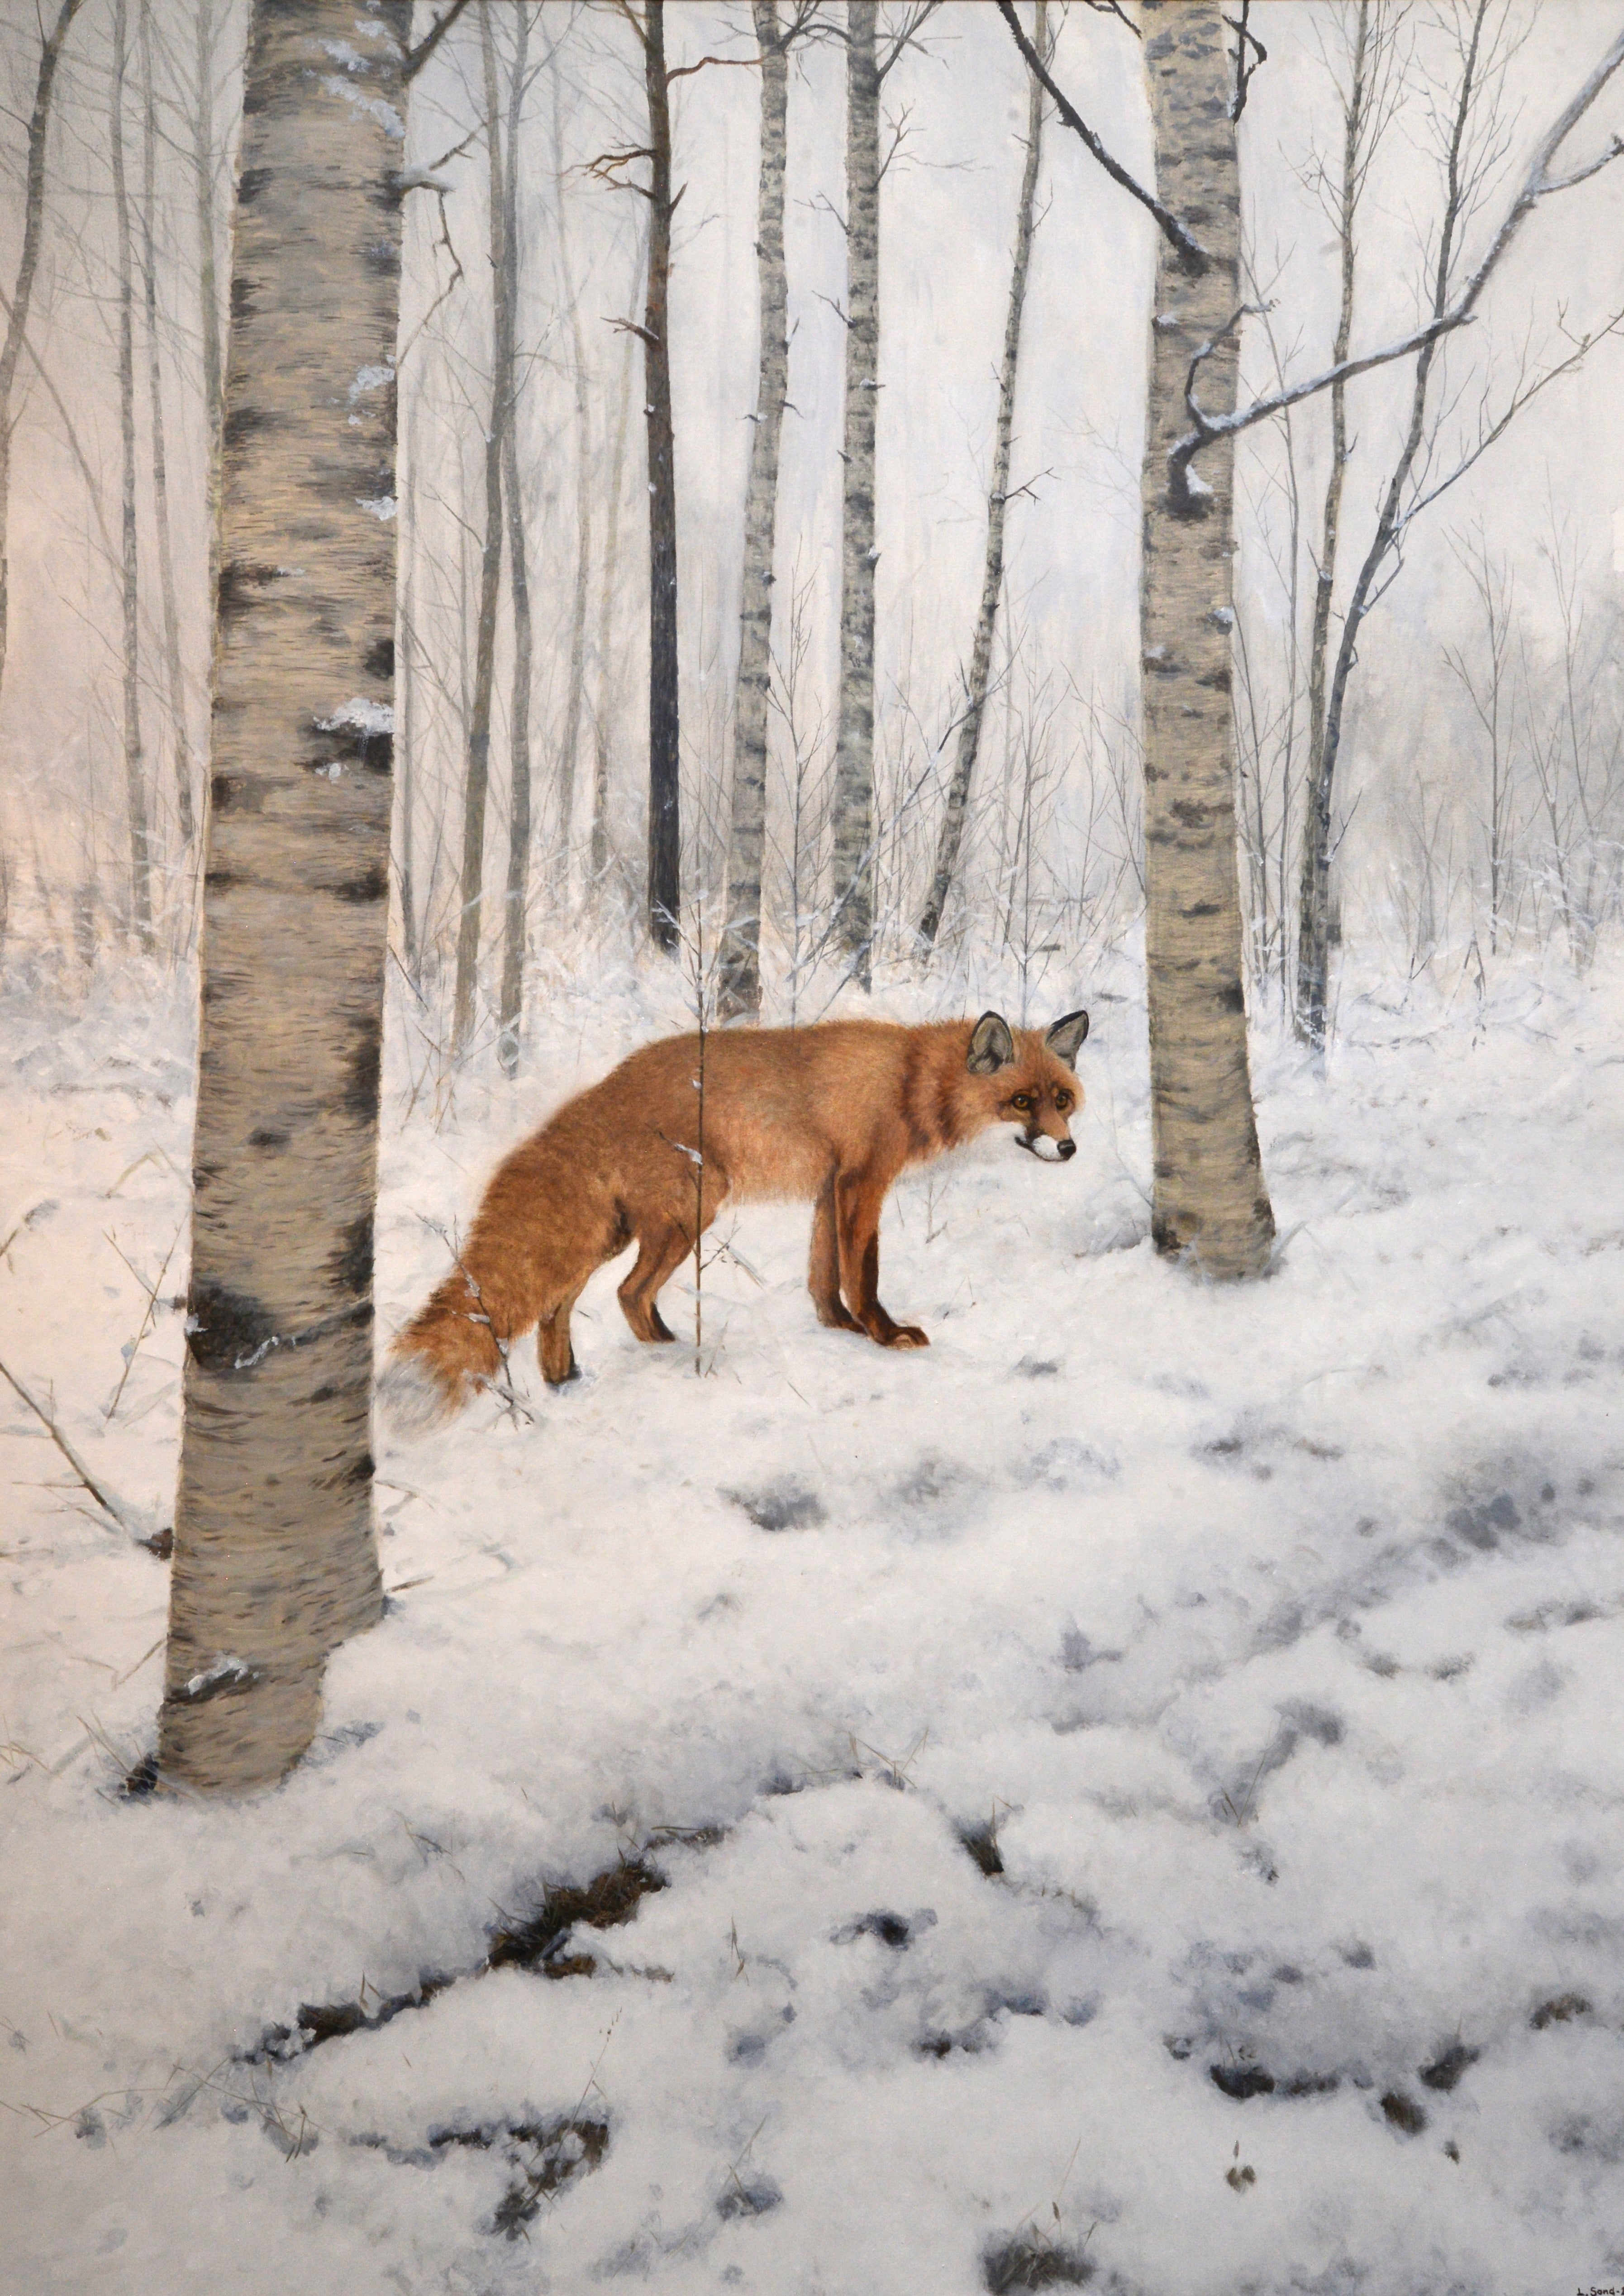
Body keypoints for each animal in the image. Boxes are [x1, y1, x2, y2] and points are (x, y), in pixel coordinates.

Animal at [381, 1006, 1089, 1426]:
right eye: (1020, 1101)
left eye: (1062, 1100)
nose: (1068, 1149)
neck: (912, 1082)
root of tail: (600, 1092)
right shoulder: (862, 1181)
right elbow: (862, 1275)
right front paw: (885, 1337)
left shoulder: (828, 1189)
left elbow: (822, 1277)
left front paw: (838, 1332)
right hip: (690, 1212)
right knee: (628, 1295)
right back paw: (674, 1359)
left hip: (615, 1233)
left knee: (559, 1306)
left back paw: (567, 1382)